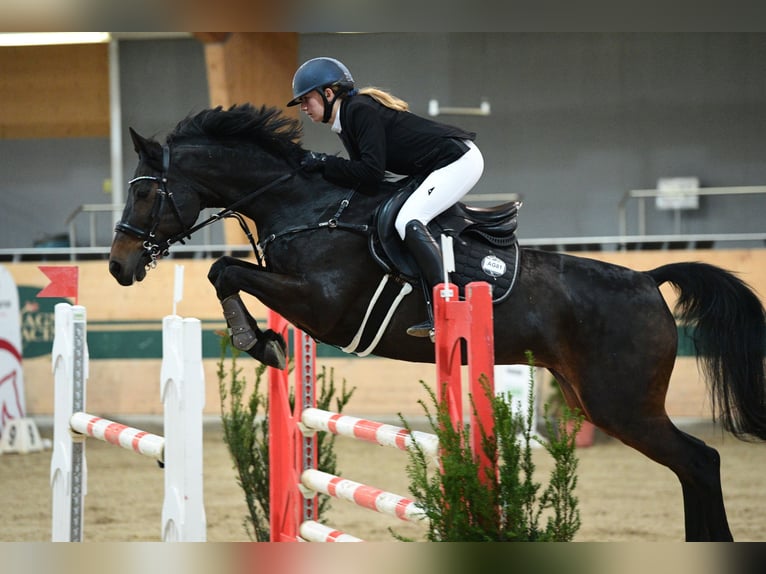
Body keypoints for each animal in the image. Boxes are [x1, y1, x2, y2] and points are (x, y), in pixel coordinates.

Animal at [109, 104, 766, 544]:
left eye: (143, 195)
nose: (118, 266)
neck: (308, 208)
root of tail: (648, 278)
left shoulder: (323, 306)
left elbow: (223, 269)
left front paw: (260, 341)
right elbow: (227, 272)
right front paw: (266, 341)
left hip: (622, 403)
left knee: (700, 462)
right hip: (595, 397)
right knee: (692, 467)